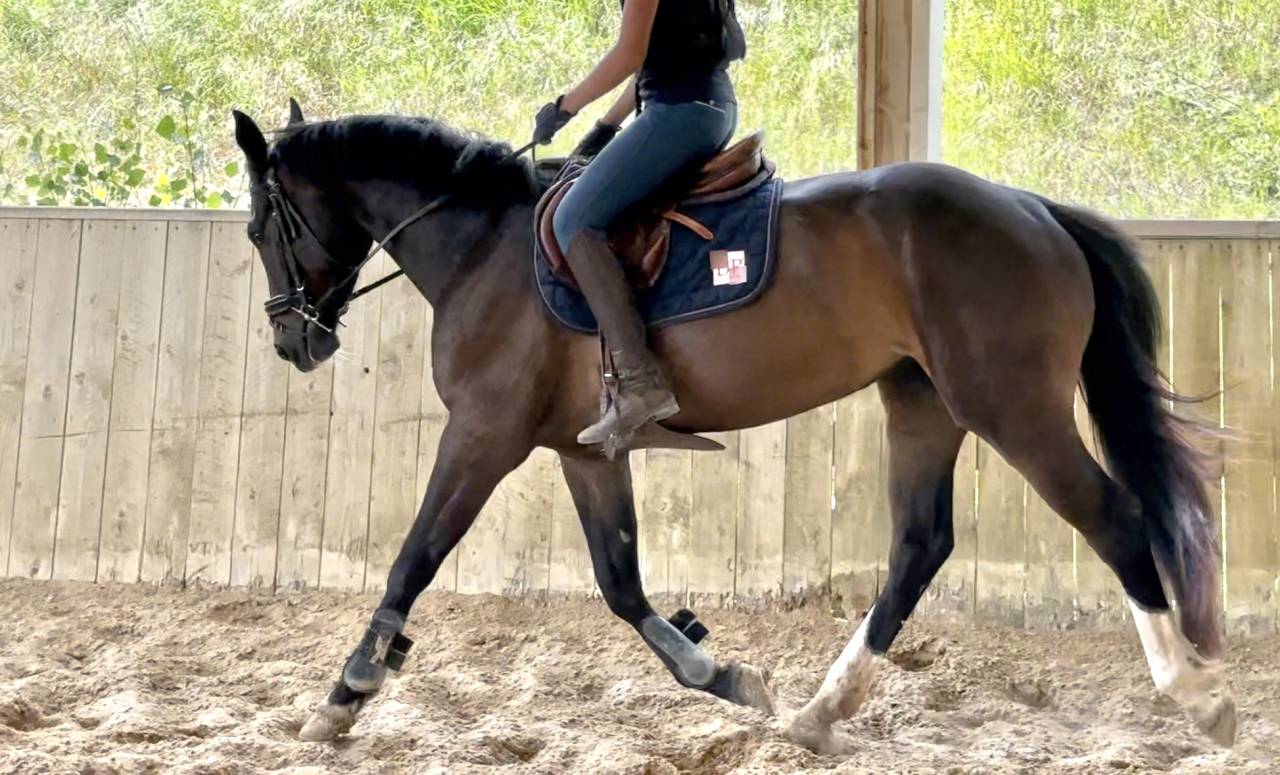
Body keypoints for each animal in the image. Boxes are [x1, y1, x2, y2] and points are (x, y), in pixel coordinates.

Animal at [231, 102, 1236, 750]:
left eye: (257, 228)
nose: (292, 339)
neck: (485, 245)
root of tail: (1032, 208)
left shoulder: (483, 434)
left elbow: (413, 558)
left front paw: (344, 695)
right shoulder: (581, 450)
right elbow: (622, 582)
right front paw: (722, 676)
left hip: (1009, 405)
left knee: (1111, 518)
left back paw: (1196, 694)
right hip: (922, 401)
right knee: (921, 543)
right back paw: (820, 712)